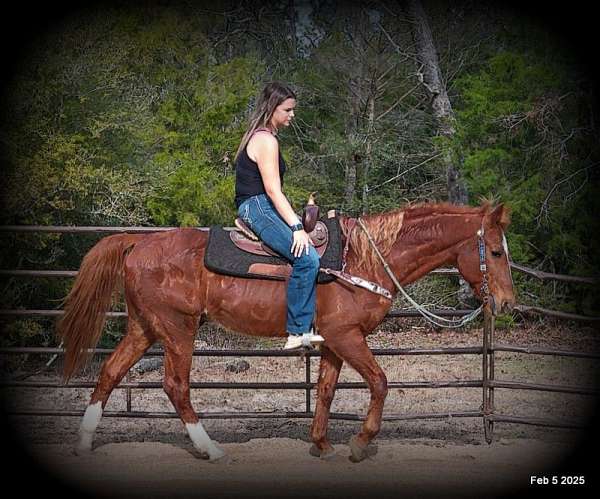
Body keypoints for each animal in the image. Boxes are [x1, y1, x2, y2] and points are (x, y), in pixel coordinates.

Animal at [57, 200, 516, 464]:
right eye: (495, 251)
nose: (508, 302)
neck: (363, 260)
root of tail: (138, 243)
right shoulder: (348, 336)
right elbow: (380, 383)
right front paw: (359, 444)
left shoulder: (334, 341)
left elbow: (327, 390)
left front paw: (322, 444)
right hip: (177, 330)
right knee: (175, 386)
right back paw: (209, 449)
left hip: (144, 328)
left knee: (110, 373)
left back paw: (83, 442)